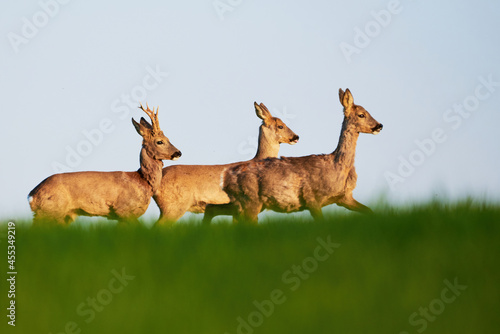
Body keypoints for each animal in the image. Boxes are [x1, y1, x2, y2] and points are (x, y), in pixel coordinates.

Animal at [26, 104, 181, 224]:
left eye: (168, 138)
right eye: (160, 141)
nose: (178, 153)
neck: (141, 181)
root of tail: (32, 194)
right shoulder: (123, 210)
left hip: (65, 215)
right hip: (51, 210)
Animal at [218, 89, 382, 224]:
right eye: (361, 115)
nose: (379, 125)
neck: (337, 166)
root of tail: (227, 177)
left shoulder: (345, 197)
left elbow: (370, 211)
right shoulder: (312, 197)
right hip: (250, 201)